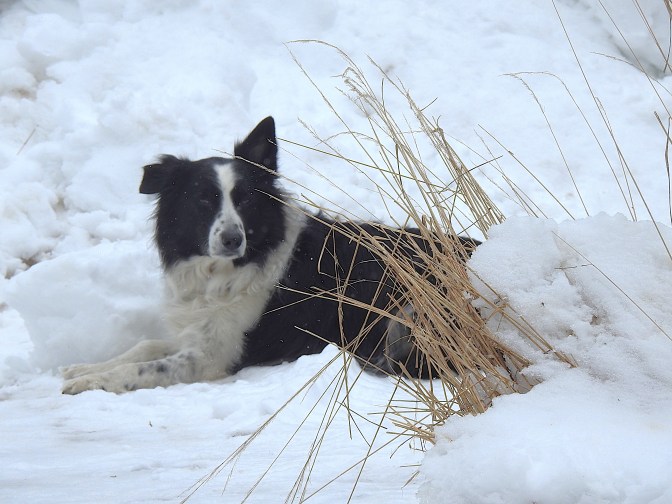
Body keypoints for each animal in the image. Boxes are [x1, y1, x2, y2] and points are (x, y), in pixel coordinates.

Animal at [62, 117, 478, 394]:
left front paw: (94, 380)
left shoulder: (216, 356)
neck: (227, 272)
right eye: (203, 200)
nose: (232, 239)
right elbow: (145, 346)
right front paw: (82, 368)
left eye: (245, 200)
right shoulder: (200, 332)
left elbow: (148, 369)